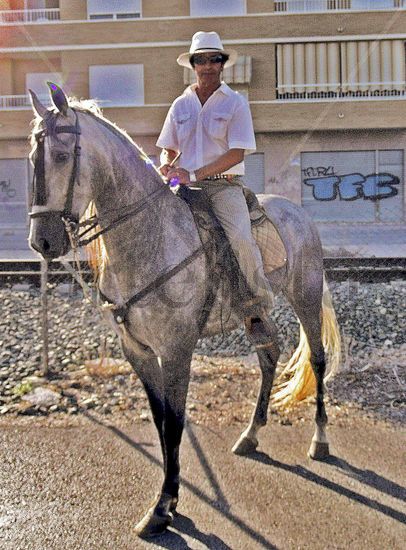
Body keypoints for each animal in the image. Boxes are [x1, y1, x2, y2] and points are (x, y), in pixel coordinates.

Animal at [28, 85, 340, 540]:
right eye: (32, 156)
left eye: (63, 155)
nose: (43, 242)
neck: (151, 237)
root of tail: (298, 212)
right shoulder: (138, 352)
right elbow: (160, 422)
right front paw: (170, 498)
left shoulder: (177, 351)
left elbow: (175, 424)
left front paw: (162, 508)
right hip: (256, 313)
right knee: (269, 357)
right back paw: (250, 435)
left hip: (306, 297)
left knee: (316, 359)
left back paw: (320, 440)